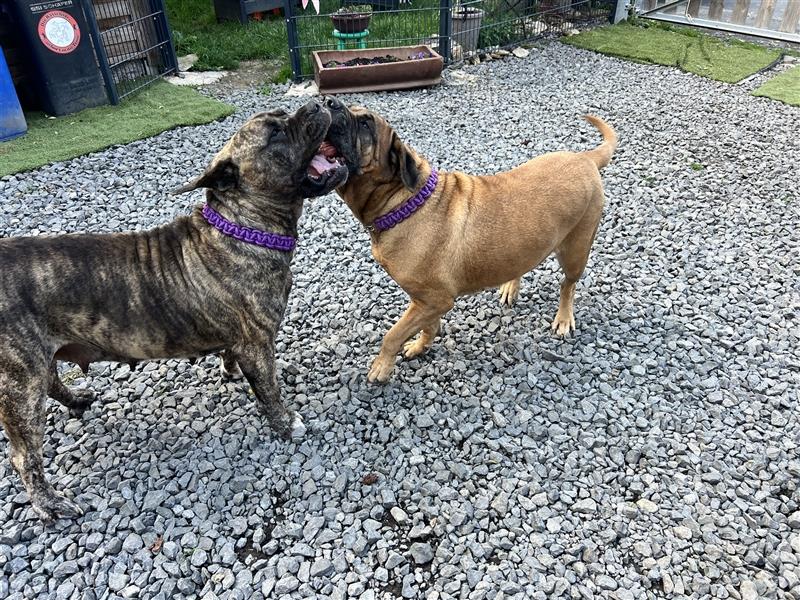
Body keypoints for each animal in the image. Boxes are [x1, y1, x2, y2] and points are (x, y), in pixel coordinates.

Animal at [0, 99, 346, 520]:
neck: (241, 226)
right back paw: (51, 503)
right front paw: (285, 422)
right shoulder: (257, 345)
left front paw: (229, 370)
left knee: (51, 381)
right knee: (24, 455)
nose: (319, 102)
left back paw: (78, 400)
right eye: (275, 133)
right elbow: (269, 388)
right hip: (21, 380)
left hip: (36, 361)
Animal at [322, 97, 616, 380]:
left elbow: (392, 334)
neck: (402, 201)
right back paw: (510, 286)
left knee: (568, 286)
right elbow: (428, 327)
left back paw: (564, 317)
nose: (328, 102)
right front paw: (420, 346)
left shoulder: (435, 299)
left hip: (575, 250)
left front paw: (382, 368)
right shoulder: (425, 301)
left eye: (366, 124)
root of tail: (585, 158)